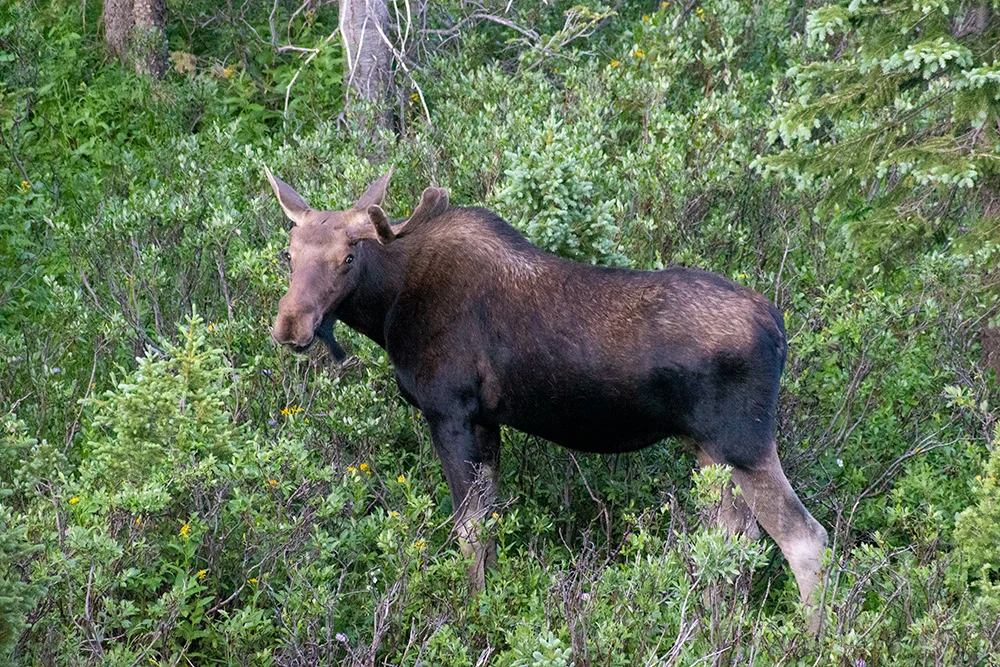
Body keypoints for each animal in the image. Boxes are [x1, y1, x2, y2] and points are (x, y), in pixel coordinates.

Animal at [266, 167, 828, 628]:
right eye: (288, 255)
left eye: (348, 257)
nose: (290, 325)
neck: (387, 308)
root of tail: (779, 328)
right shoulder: (486, 421)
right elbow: (490, 523)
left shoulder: (450, 410)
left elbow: (469, 529)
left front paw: (474, 618)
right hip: (709, 451)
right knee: (731, 538)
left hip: (742, 442)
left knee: (804, 537)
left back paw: (810, 641)